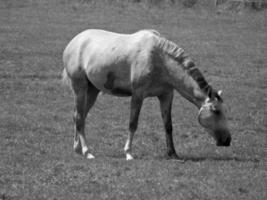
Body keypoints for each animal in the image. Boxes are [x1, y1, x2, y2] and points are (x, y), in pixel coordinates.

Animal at [61, 28, 231, 160]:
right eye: (216, 111)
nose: (227, 140)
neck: (159, 58)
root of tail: (74, 42)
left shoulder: (166, 96)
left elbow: (168, 125)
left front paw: (173, 153)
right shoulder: (138, 95)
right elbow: (133, 123)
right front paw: (128, 153)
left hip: (93, 90)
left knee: (79, 116)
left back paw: (77, 149)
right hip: (80, 88)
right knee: (79, 118)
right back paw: (87, 152)